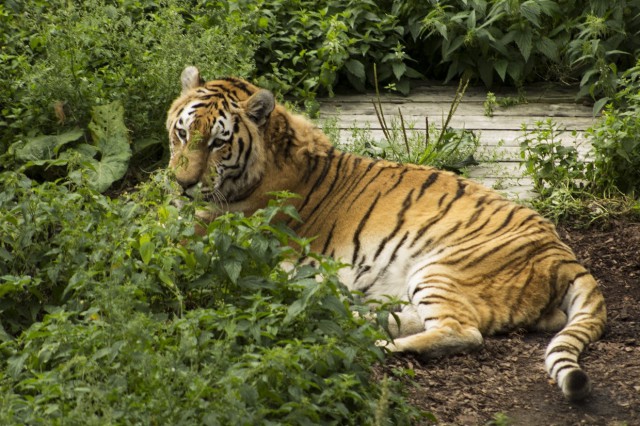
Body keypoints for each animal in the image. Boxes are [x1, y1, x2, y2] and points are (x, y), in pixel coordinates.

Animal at [166, 65, 604, 402]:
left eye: (218, 143)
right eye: (182, 133)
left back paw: (370, 343)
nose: (182, 184)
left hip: (439, 269)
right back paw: (336, 315)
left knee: (462, 332)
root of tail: (563, 254)